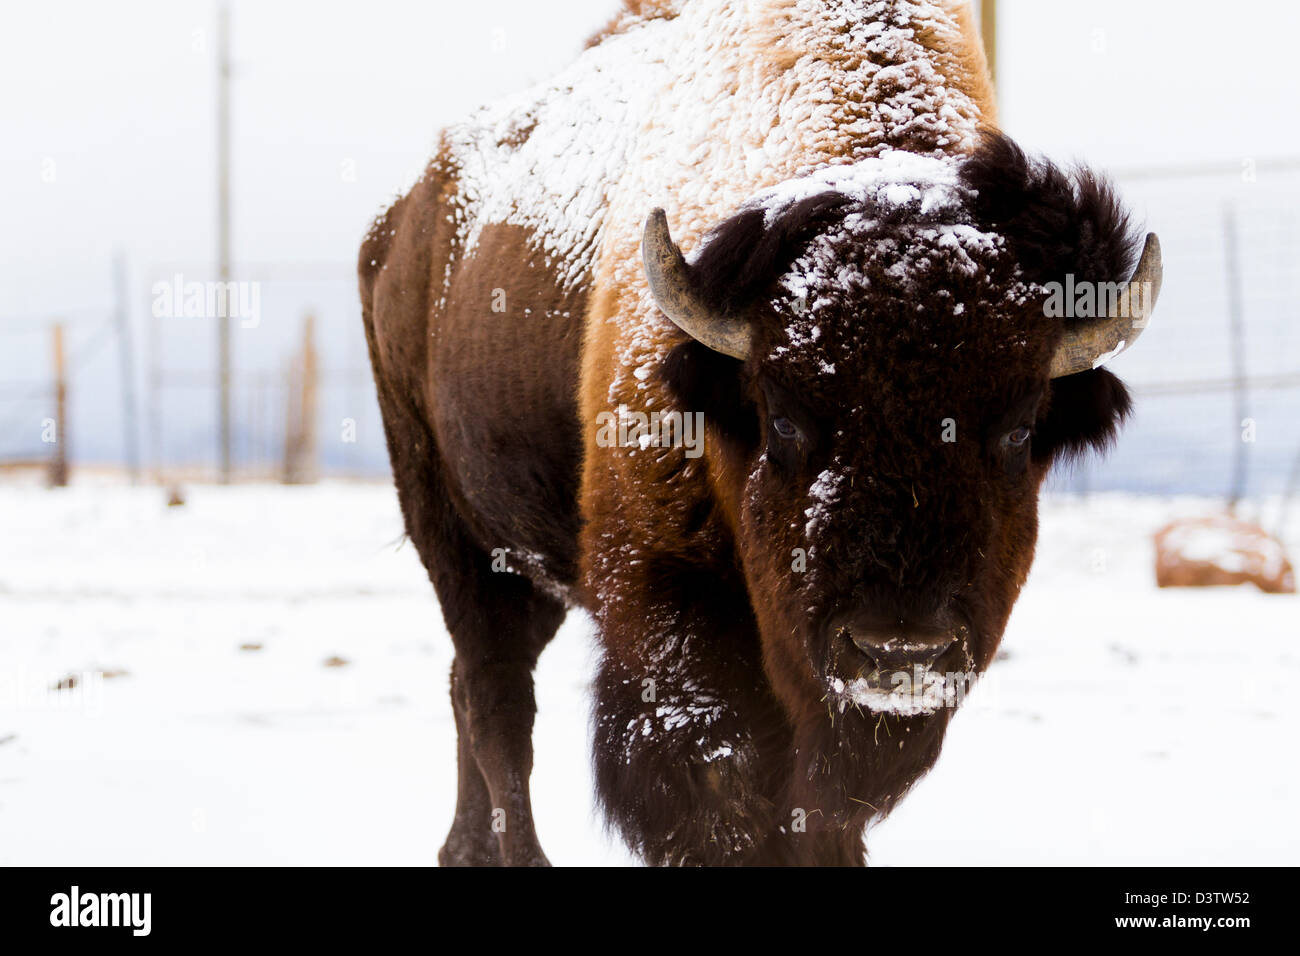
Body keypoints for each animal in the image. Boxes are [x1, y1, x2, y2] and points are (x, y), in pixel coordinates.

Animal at [359, 0, 1161, 865]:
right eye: (783, 418)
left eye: (1019, 429)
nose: (899, 653)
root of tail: (399, 224)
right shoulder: (664, 591)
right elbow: (718, 774)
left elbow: (821, 801)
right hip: (456, 532)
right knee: (496, 696)